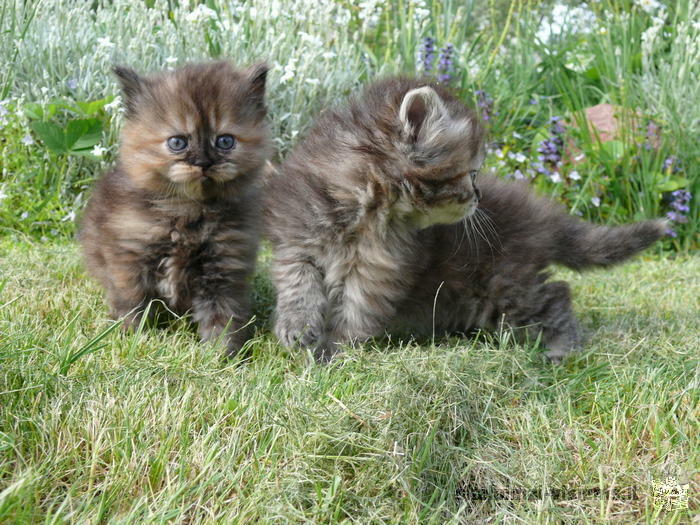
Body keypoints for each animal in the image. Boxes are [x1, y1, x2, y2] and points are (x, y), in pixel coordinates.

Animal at [80, 61, 270, 356]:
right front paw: (131, 339)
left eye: (225, 141)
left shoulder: (223, 267)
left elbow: (222, 315)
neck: (189, 212)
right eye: (178, 142)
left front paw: (222, 355)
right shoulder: (129, 261)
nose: (204, 163)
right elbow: (132, 305)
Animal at [266, 78, 664, 362]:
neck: (364, 207)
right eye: (471, 172)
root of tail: (541, 215)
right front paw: (297, 328)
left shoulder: (377, 273)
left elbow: (354, 311)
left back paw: (561, 350)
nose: (479, 196)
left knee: (556, 296)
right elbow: (298, 284)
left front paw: (334, 350)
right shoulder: (297, 239)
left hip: (505, 287)